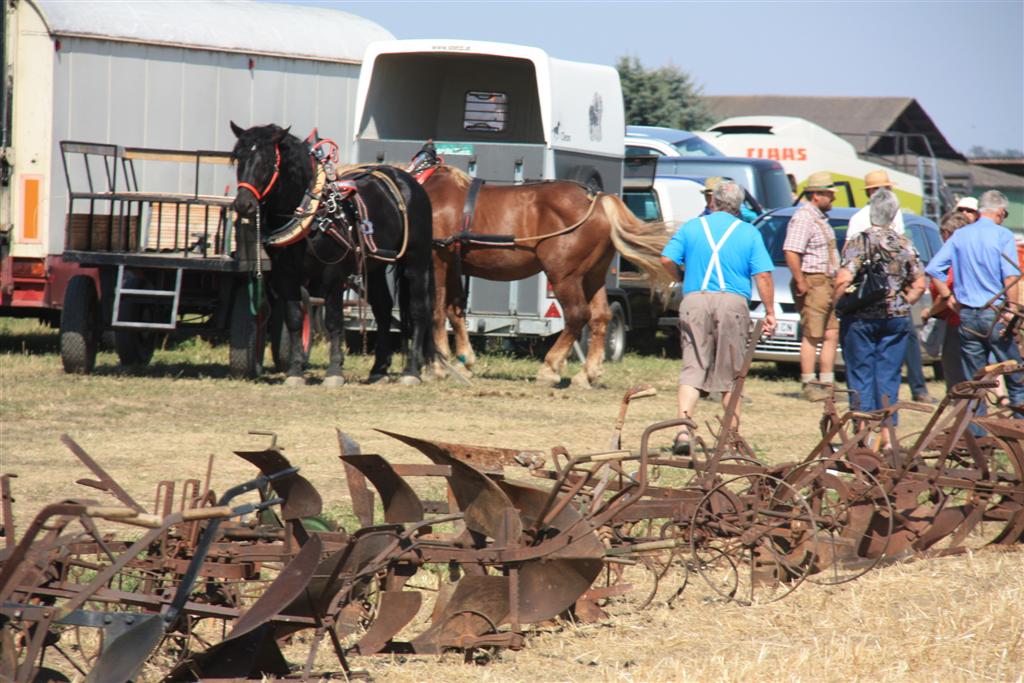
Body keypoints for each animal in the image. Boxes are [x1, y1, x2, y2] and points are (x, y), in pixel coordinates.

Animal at [228, 123, 436, 387]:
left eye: (268, 161)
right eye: (238, 158)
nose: (243, 204)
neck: (311, 217)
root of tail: (409, 180)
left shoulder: (334, 275)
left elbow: (334, 320)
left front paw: (335, 370)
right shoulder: (286, 276)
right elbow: (294, 319)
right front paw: (295, 371)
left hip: (416, 262)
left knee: (419, 310)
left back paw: (411, 371)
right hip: (375, 266)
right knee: (383, 308)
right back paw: (379, 369)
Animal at [417, 165, 667, 387]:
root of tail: (596, 201)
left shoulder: (437, 260)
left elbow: (437, 312)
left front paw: (438, 366)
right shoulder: (453, 266)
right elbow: (454, 312)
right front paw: (463, 363)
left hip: (564, 276)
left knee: (577, 315)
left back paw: (550, 368)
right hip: (593, 276)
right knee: (600, 317)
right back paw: (588, 374)